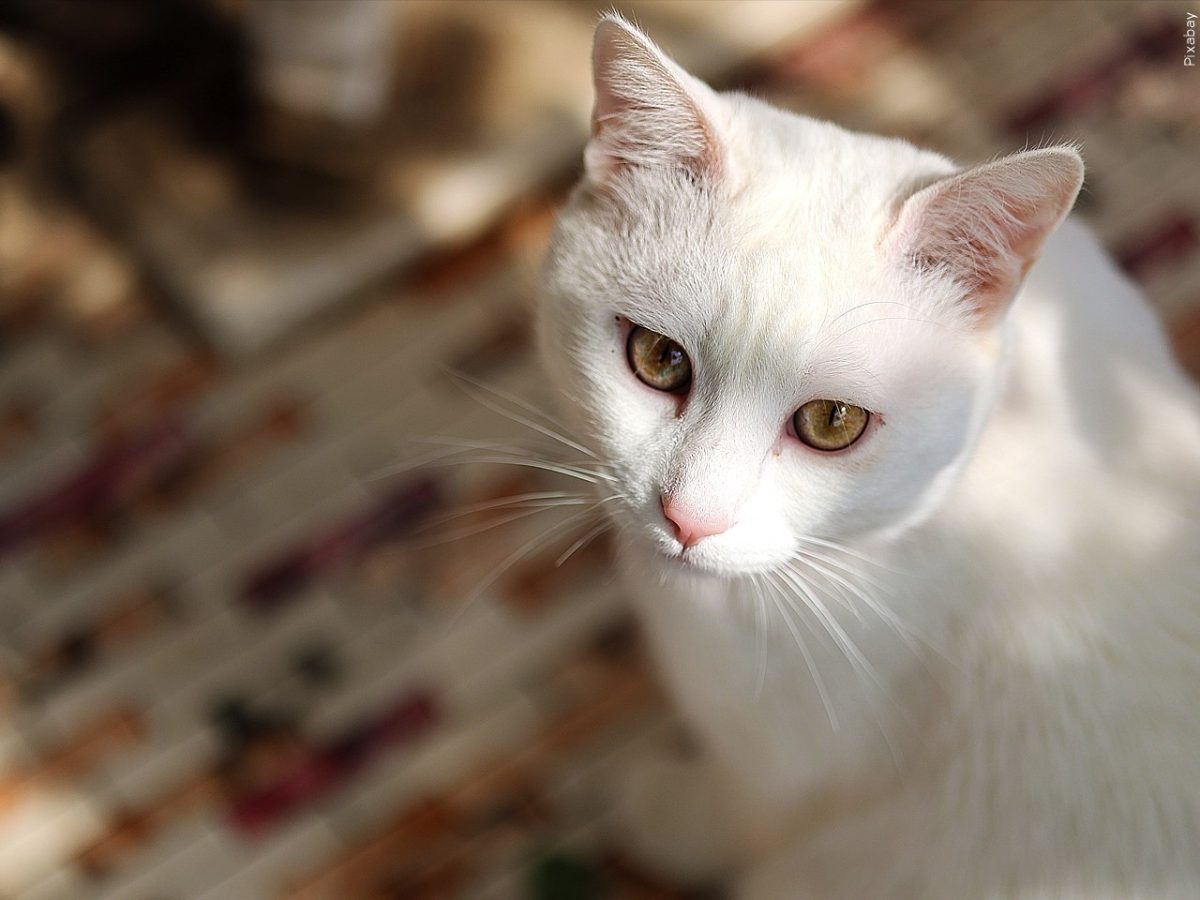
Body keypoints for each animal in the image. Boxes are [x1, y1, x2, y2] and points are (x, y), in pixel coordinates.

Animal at [540, 14, 1200, 900]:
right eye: (659, 358)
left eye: (832, 422)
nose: (690, 517)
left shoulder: (785, 764)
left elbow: (732, 814)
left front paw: (652, 806)